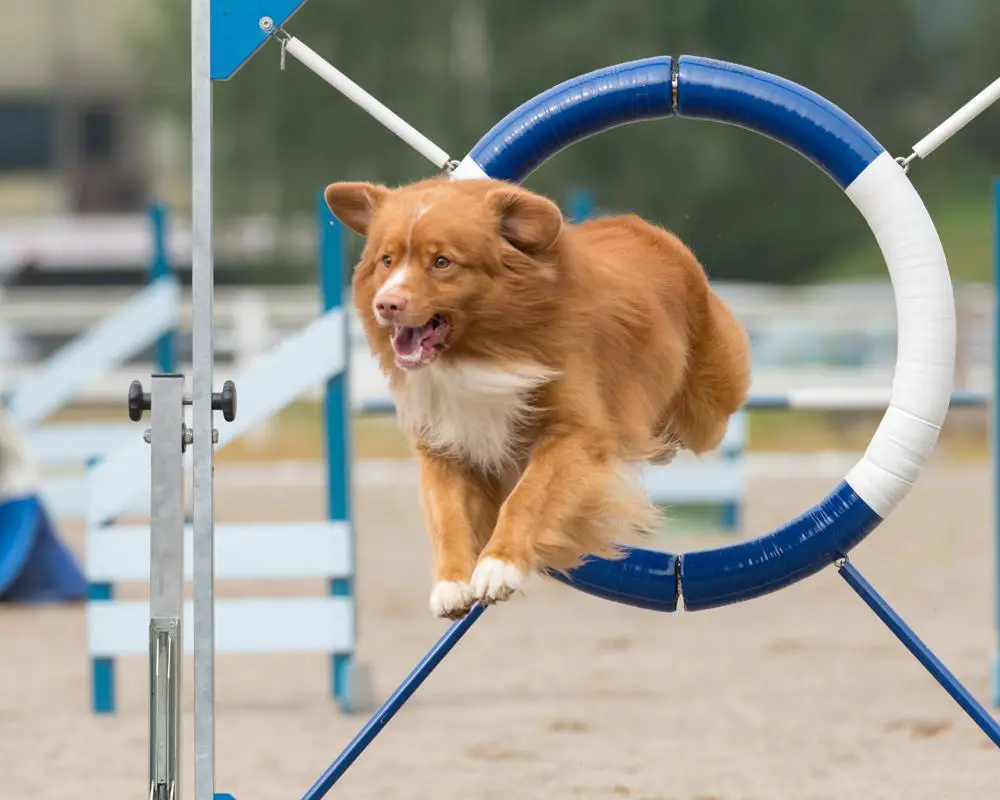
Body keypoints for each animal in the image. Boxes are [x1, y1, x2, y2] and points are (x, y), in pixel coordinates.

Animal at [326, 177, 752, 620]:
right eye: (386, 260)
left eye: (442, 262)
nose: (386, 304)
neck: (478, 354)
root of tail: (648, 231)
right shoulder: (445, 443)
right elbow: (447, 516)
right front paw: (450, 583)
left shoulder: (574, 432)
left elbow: (527, 495)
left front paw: (499, 565)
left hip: (707, 409)